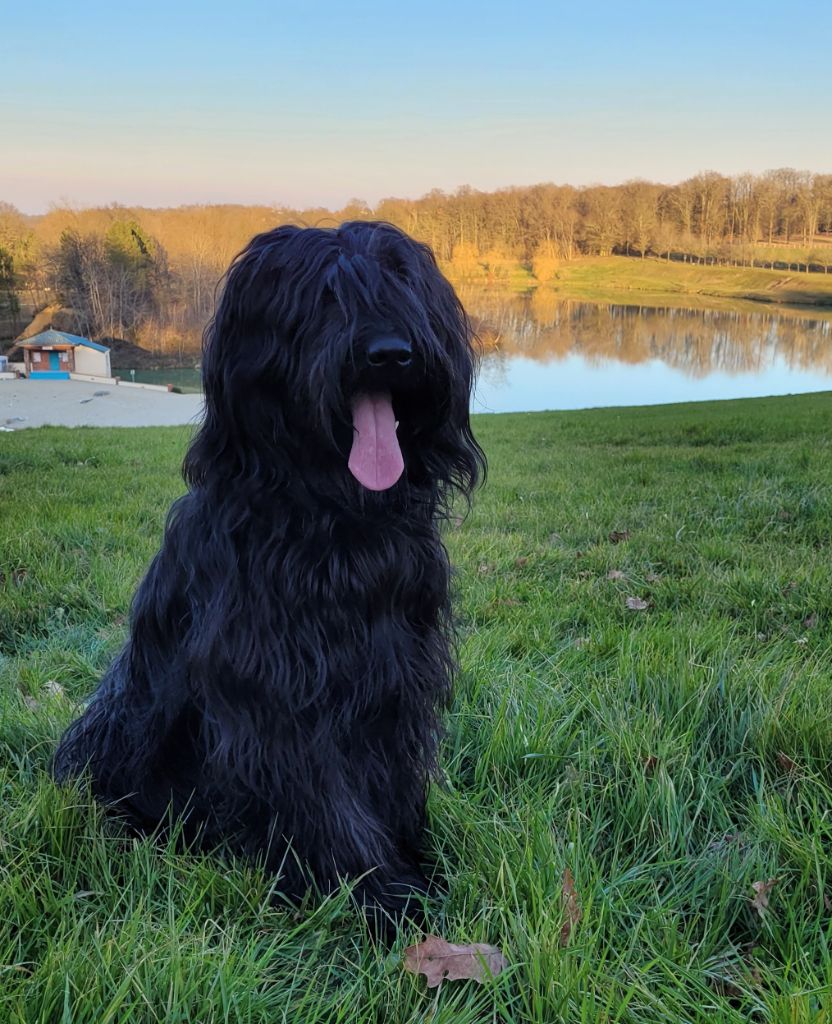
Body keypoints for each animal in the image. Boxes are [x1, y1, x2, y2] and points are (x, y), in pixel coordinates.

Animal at [52, 224, 483, 937]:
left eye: (402, 284)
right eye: (325, 297)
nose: (391, 355)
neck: (334, 523)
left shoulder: (396, 671)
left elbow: (389, 776)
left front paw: (417, 855)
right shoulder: (273, 689)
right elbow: (322, 797)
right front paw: (380, 894)